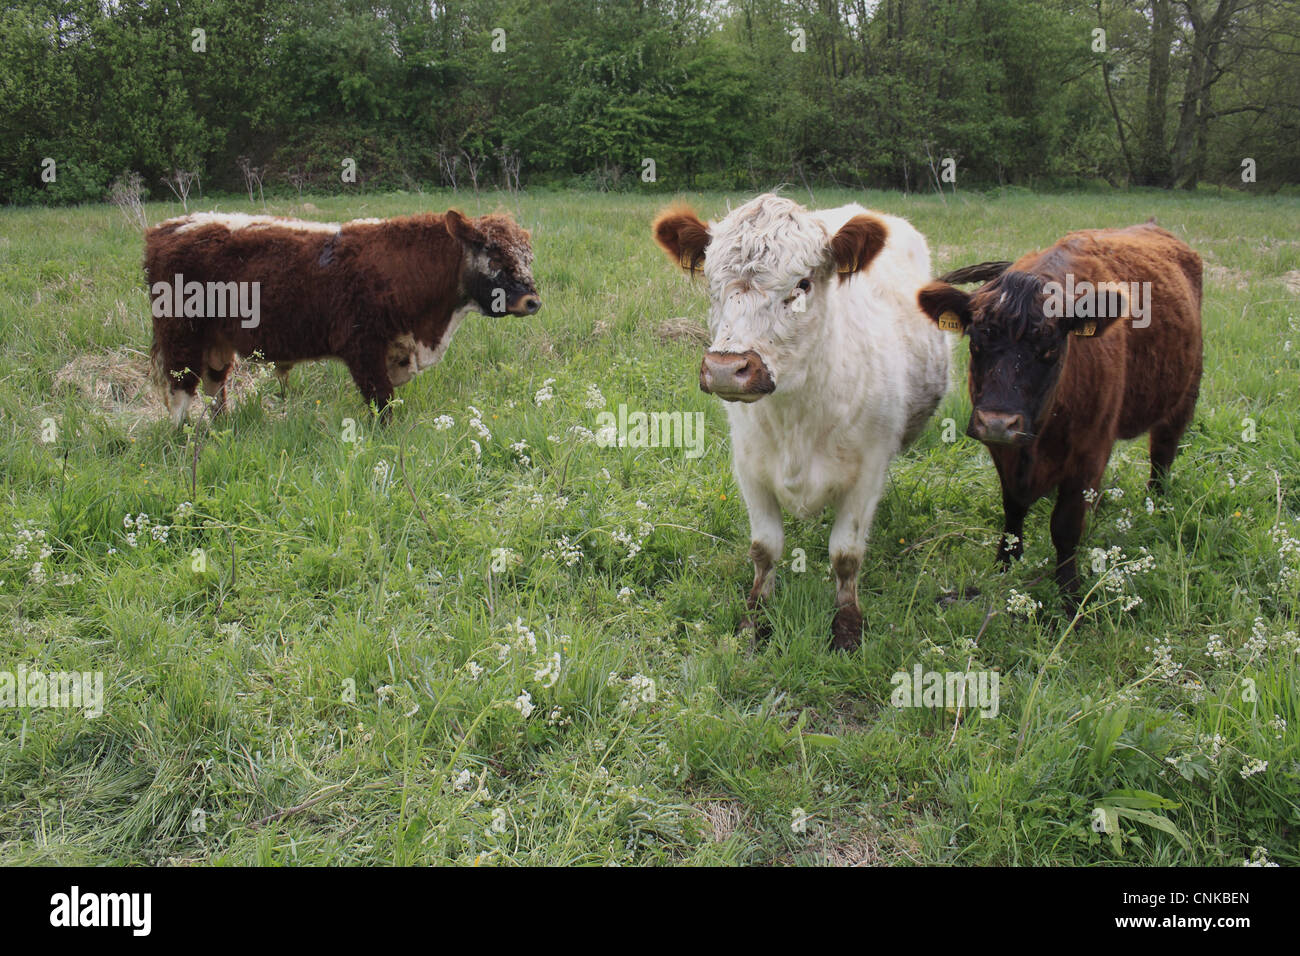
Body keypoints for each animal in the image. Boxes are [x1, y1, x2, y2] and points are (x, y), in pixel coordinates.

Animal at [144, 209, 541, 425]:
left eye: (527, 257)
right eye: (494, 255)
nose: (532, 301)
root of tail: (169, 227)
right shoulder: (363, 348)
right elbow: (382, 404)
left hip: (216, 343)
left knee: (215, 386)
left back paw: (221, 427)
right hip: (181, 337)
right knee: (181, 390)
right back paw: (182, 437)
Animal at [653, 194, 951, 651]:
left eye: (803, 285)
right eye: (711, 284)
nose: (725, 369)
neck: (796, 418)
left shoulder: (867, 473)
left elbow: (846, 554)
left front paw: (847, 628)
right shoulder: (749, 466)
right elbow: (765, 548)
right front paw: (754, 620)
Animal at [916, 223, 1203, 609]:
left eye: (1050, 347)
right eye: (976, 342)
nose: (998, 422)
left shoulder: (1088, 450)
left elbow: (1066, 525)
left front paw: (1069, 591)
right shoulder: (1004, 450)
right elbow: (1013, 508)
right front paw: (1005, 564)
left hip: (1183, 396)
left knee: (1162, 453)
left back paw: (1155, 503)